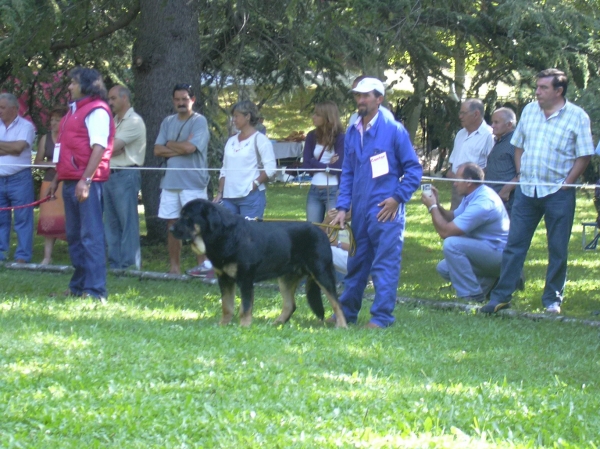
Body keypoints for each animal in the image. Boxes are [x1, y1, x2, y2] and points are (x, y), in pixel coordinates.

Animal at [169, 198, 346, 328]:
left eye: (187, 217)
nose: (171, 229)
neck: (224, 235)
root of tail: (323, 232)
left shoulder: (245, 278)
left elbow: (245, 307)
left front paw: (244, 326)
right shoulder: (224, 279)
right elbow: (227, 306)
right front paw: (223, 325)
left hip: (322, 272)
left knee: (336, 302)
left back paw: (342, 325)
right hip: (286, 278)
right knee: (290, 305)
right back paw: (277, 324)